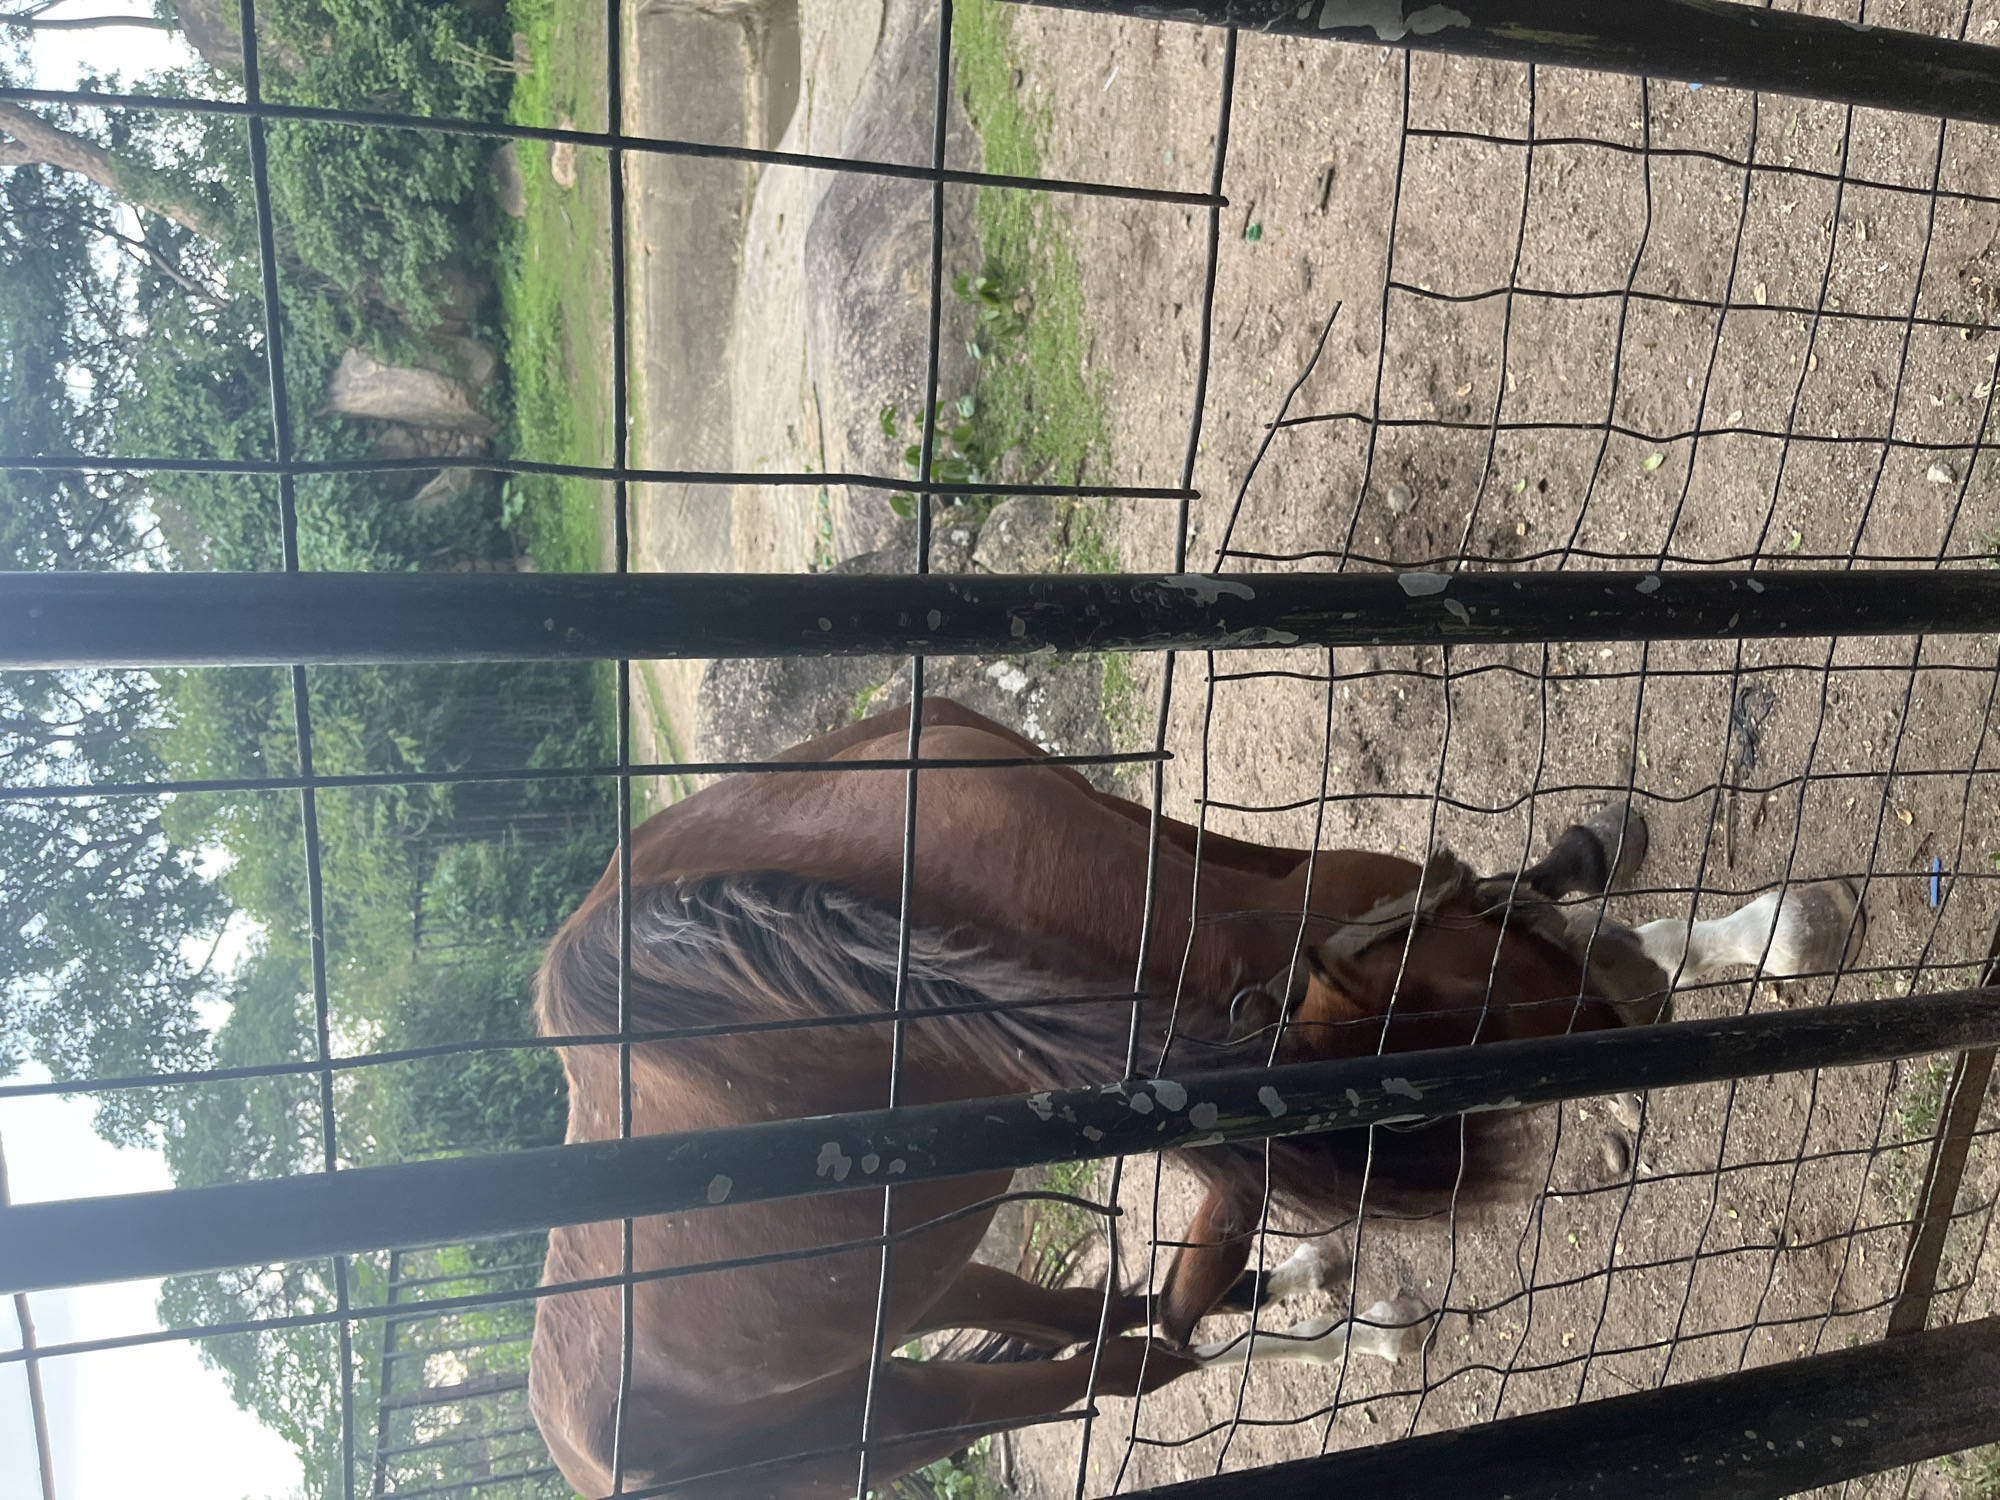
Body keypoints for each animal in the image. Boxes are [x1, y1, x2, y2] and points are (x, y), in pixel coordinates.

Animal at [528, 696, 1864, 1497]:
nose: (1643, 1011)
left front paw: (1733, 924)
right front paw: (1745, 932)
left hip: (931, 1270)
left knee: (1112, 1311)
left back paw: (1311, 1287)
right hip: (899, 1412)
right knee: (1132, 1364)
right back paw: (1355, 1323)